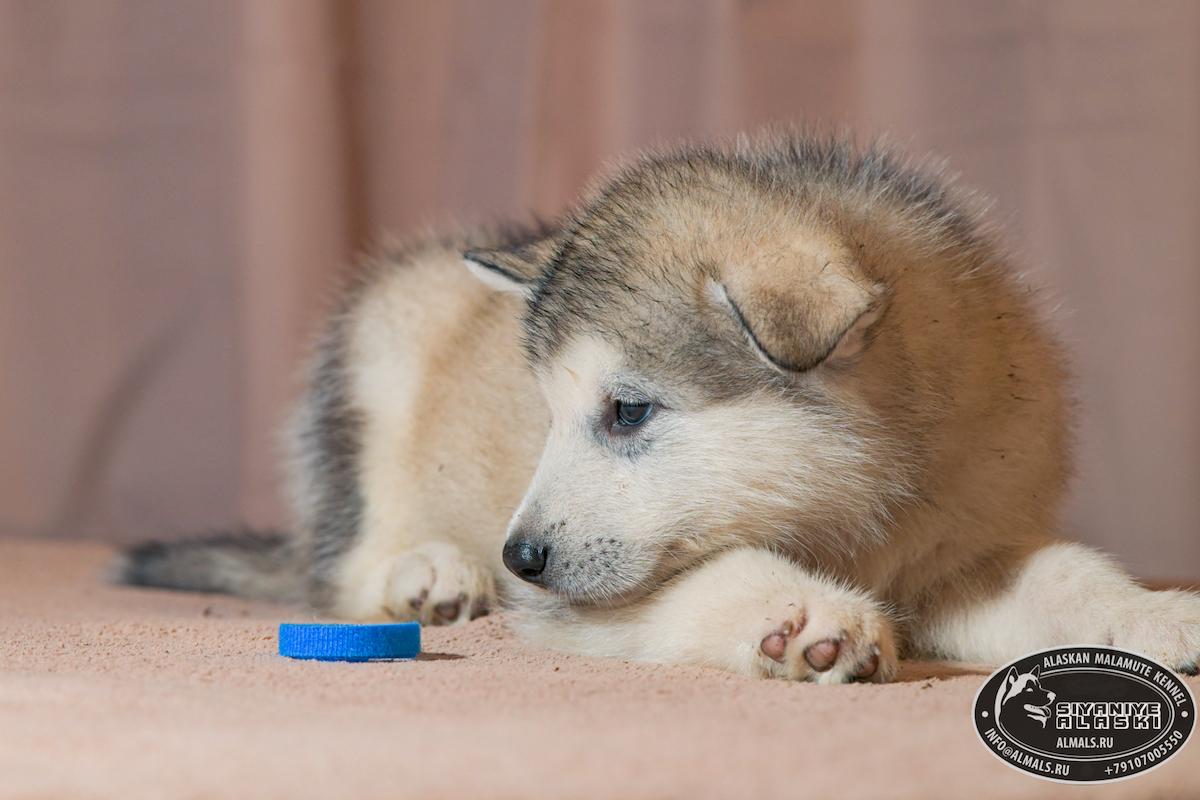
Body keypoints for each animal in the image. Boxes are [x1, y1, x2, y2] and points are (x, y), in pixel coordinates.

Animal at [119, 134, 1200, 686]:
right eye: (547, 412)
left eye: (628, 412)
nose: (519, 556)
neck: (862, 510)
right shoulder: (580, 597)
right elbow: (710, 576)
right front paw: (793, 610)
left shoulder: (966, 545)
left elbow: (1063, 578)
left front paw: (1154, 614)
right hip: (380, 348)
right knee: (343, 557)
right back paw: (428, 572)